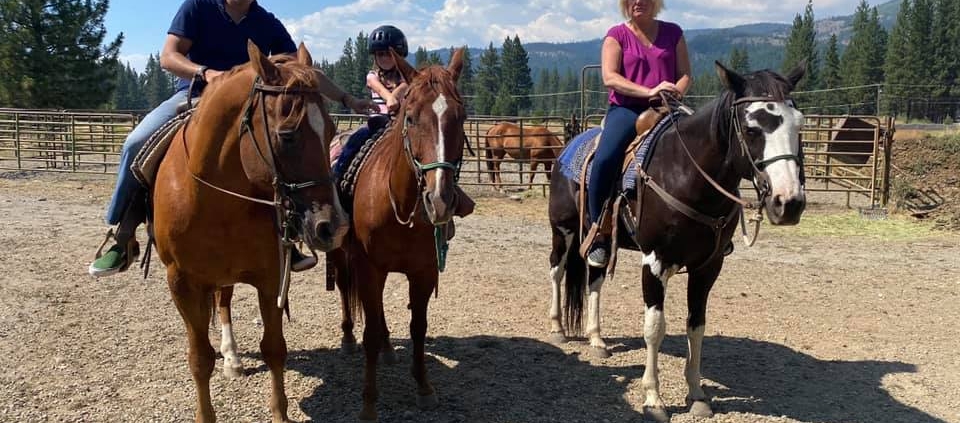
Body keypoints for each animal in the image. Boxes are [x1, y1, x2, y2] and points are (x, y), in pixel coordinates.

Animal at [151, 42, 348, 422]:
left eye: (332, 132)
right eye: (287, 135)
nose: (333, 225)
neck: (215, 199)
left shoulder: (271, 276)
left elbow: (274, 348)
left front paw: (280, 413)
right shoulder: (181, 282)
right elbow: (199, 359)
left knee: (224, 302)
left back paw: (232, 357)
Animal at [326, 47, 467, 422]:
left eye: (461, 117)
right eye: (412, 118)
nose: (440, 199)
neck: (401, 206)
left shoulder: (423, 271)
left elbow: (418, 327)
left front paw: (424, 387)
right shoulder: (368, 266)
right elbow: (370, 331)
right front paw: (368, 403)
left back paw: (390, 347)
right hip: (341, 254)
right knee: (345, 289)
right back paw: (347, 339)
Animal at [548, 61, 807, 422]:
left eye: (799, 125)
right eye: (752, 128)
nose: (790, 202)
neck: (687, 175)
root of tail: (569, 146)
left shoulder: (708, 266)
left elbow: (696, 326)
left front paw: (697, 394)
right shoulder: (655, 262)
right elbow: (654, 328)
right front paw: (653, 399)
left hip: (600, 239)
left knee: (594, 278)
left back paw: (597, 340)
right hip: (563, 229)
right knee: (557, 271)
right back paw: (558, 328)